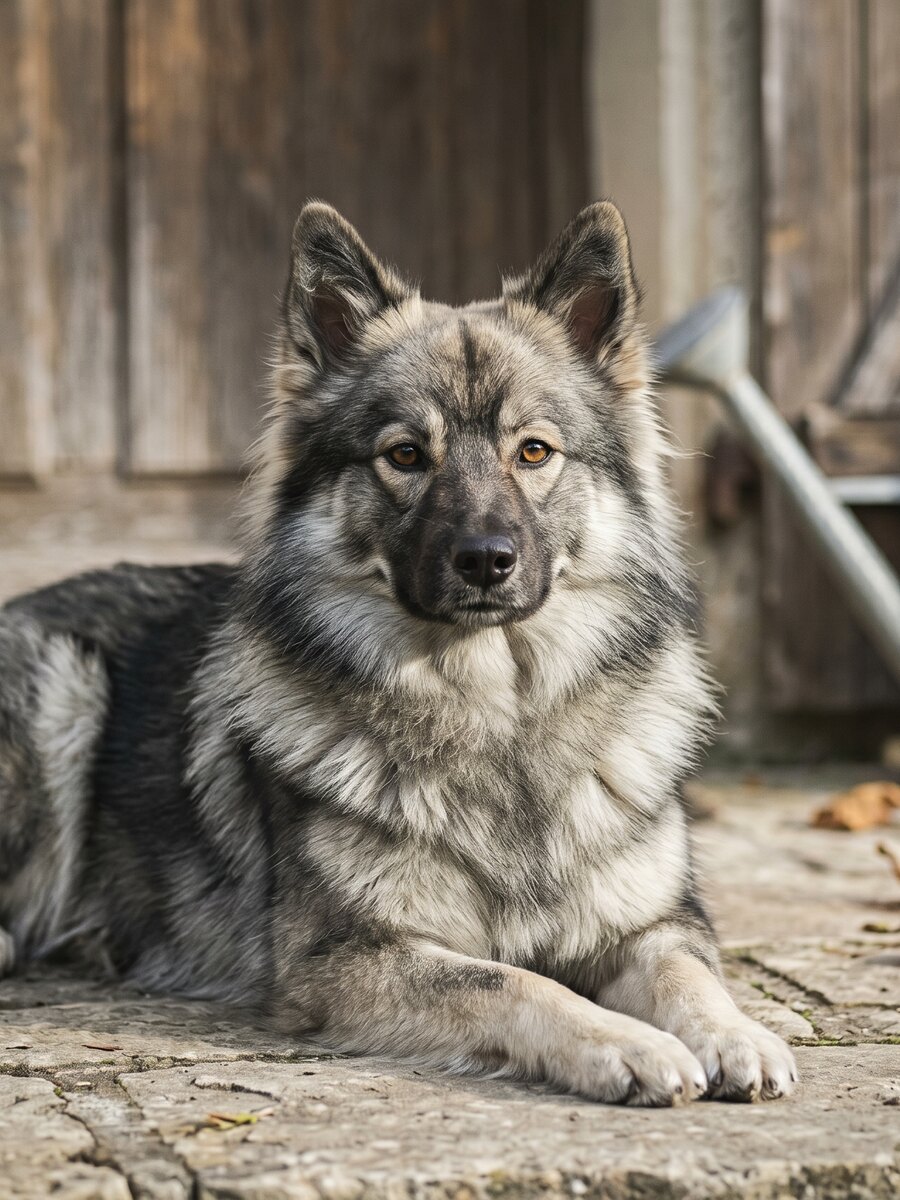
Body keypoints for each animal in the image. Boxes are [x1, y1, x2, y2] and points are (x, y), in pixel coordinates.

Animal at [0, 200, 796, 1105]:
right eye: (407, 455)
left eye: (534, 451)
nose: (485, 559)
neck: (499, 719)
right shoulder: (351, 956)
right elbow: (515, 981)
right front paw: (624, 1043)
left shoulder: (654, 923)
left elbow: (690, 975)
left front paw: (737, 1033)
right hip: (59, 690)